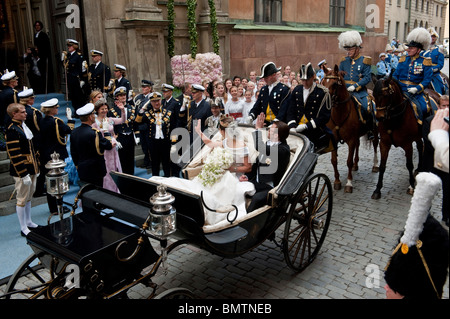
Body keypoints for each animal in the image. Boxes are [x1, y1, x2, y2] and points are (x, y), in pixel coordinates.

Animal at [324, 64, 380, 192]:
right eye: (322, 81)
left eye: (334, 84)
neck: (340, 114)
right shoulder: (335, 139)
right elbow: (334, 161)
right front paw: (337, 181)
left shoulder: (351, 139)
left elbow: (348, 161)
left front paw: (349, 183)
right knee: (357, 146)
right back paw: (356, 165)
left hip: (374, 130)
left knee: (375, 144)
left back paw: (375, 165)